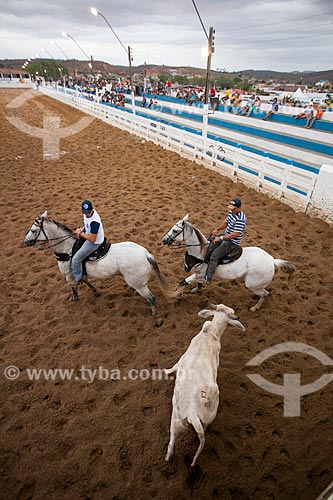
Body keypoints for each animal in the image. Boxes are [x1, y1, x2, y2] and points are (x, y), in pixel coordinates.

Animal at [24, 210, 178, 318]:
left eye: (33, 230)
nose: (26, 241)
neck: (67, 249)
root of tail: (146, 254)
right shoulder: (79, 271)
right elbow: (85, 280)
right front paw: (95, 291)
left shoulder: (69, 274)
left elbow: (73, 286)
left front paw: (74, 298)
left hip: (139, 285)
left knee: (151, 298)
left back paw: (156, 317)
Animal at [162, 215, 294, 312]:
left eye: (175, 230)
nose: (164, 240)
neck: (201, 252)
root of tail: (271, 260)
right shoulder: (198, 273)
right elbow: (197, 283)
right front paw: (195, 290)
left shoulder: (200, 274)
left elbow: (183, 282)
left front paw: (178, 295)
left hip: (252, 284)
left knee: (265, 294)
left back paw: (254, 307)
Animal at [164, 302, 244, 466]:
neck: (210, 333)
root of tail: (192, 412)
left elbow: (175, 365)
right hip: (207, 415)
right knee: (205, 428)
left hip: (175, 423)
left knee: (171, 443)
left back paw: (168, 457)